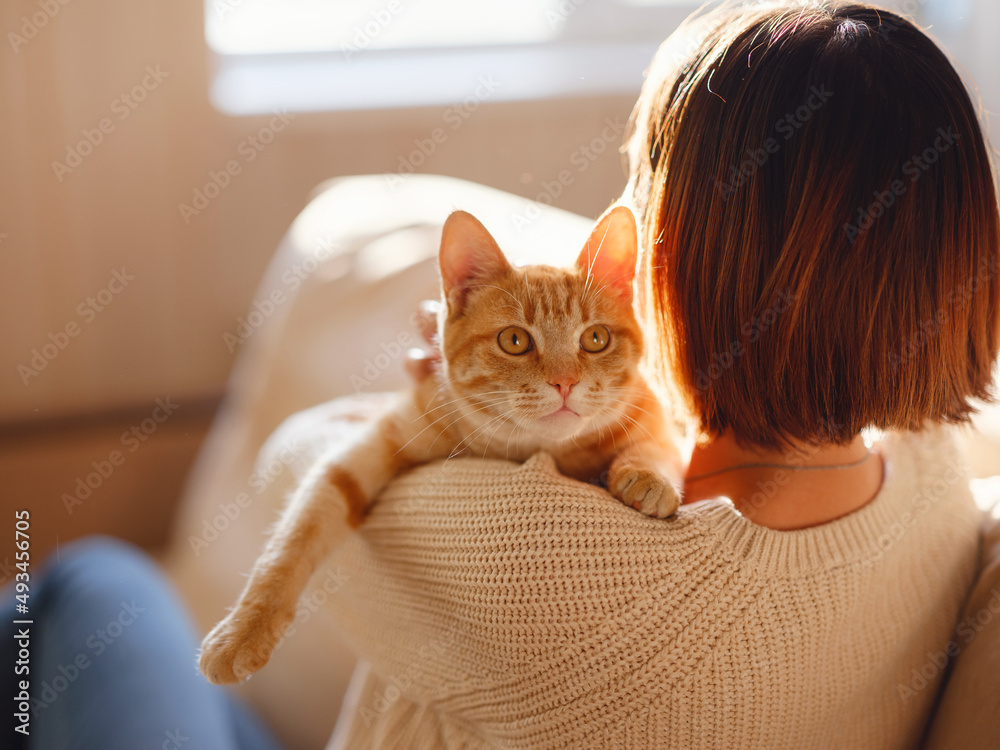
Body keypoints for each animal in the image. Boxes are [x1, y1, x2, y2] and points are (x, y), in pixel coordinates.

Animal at [199, 206, 684, 688]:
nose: (565, 382)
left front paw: (647, 477)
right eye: (515, 341)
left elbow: (657, 447)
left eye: (595, 338)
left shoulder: (653, 415)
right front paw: (243, 631)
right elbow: (294, 538)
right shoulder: (365, 452)